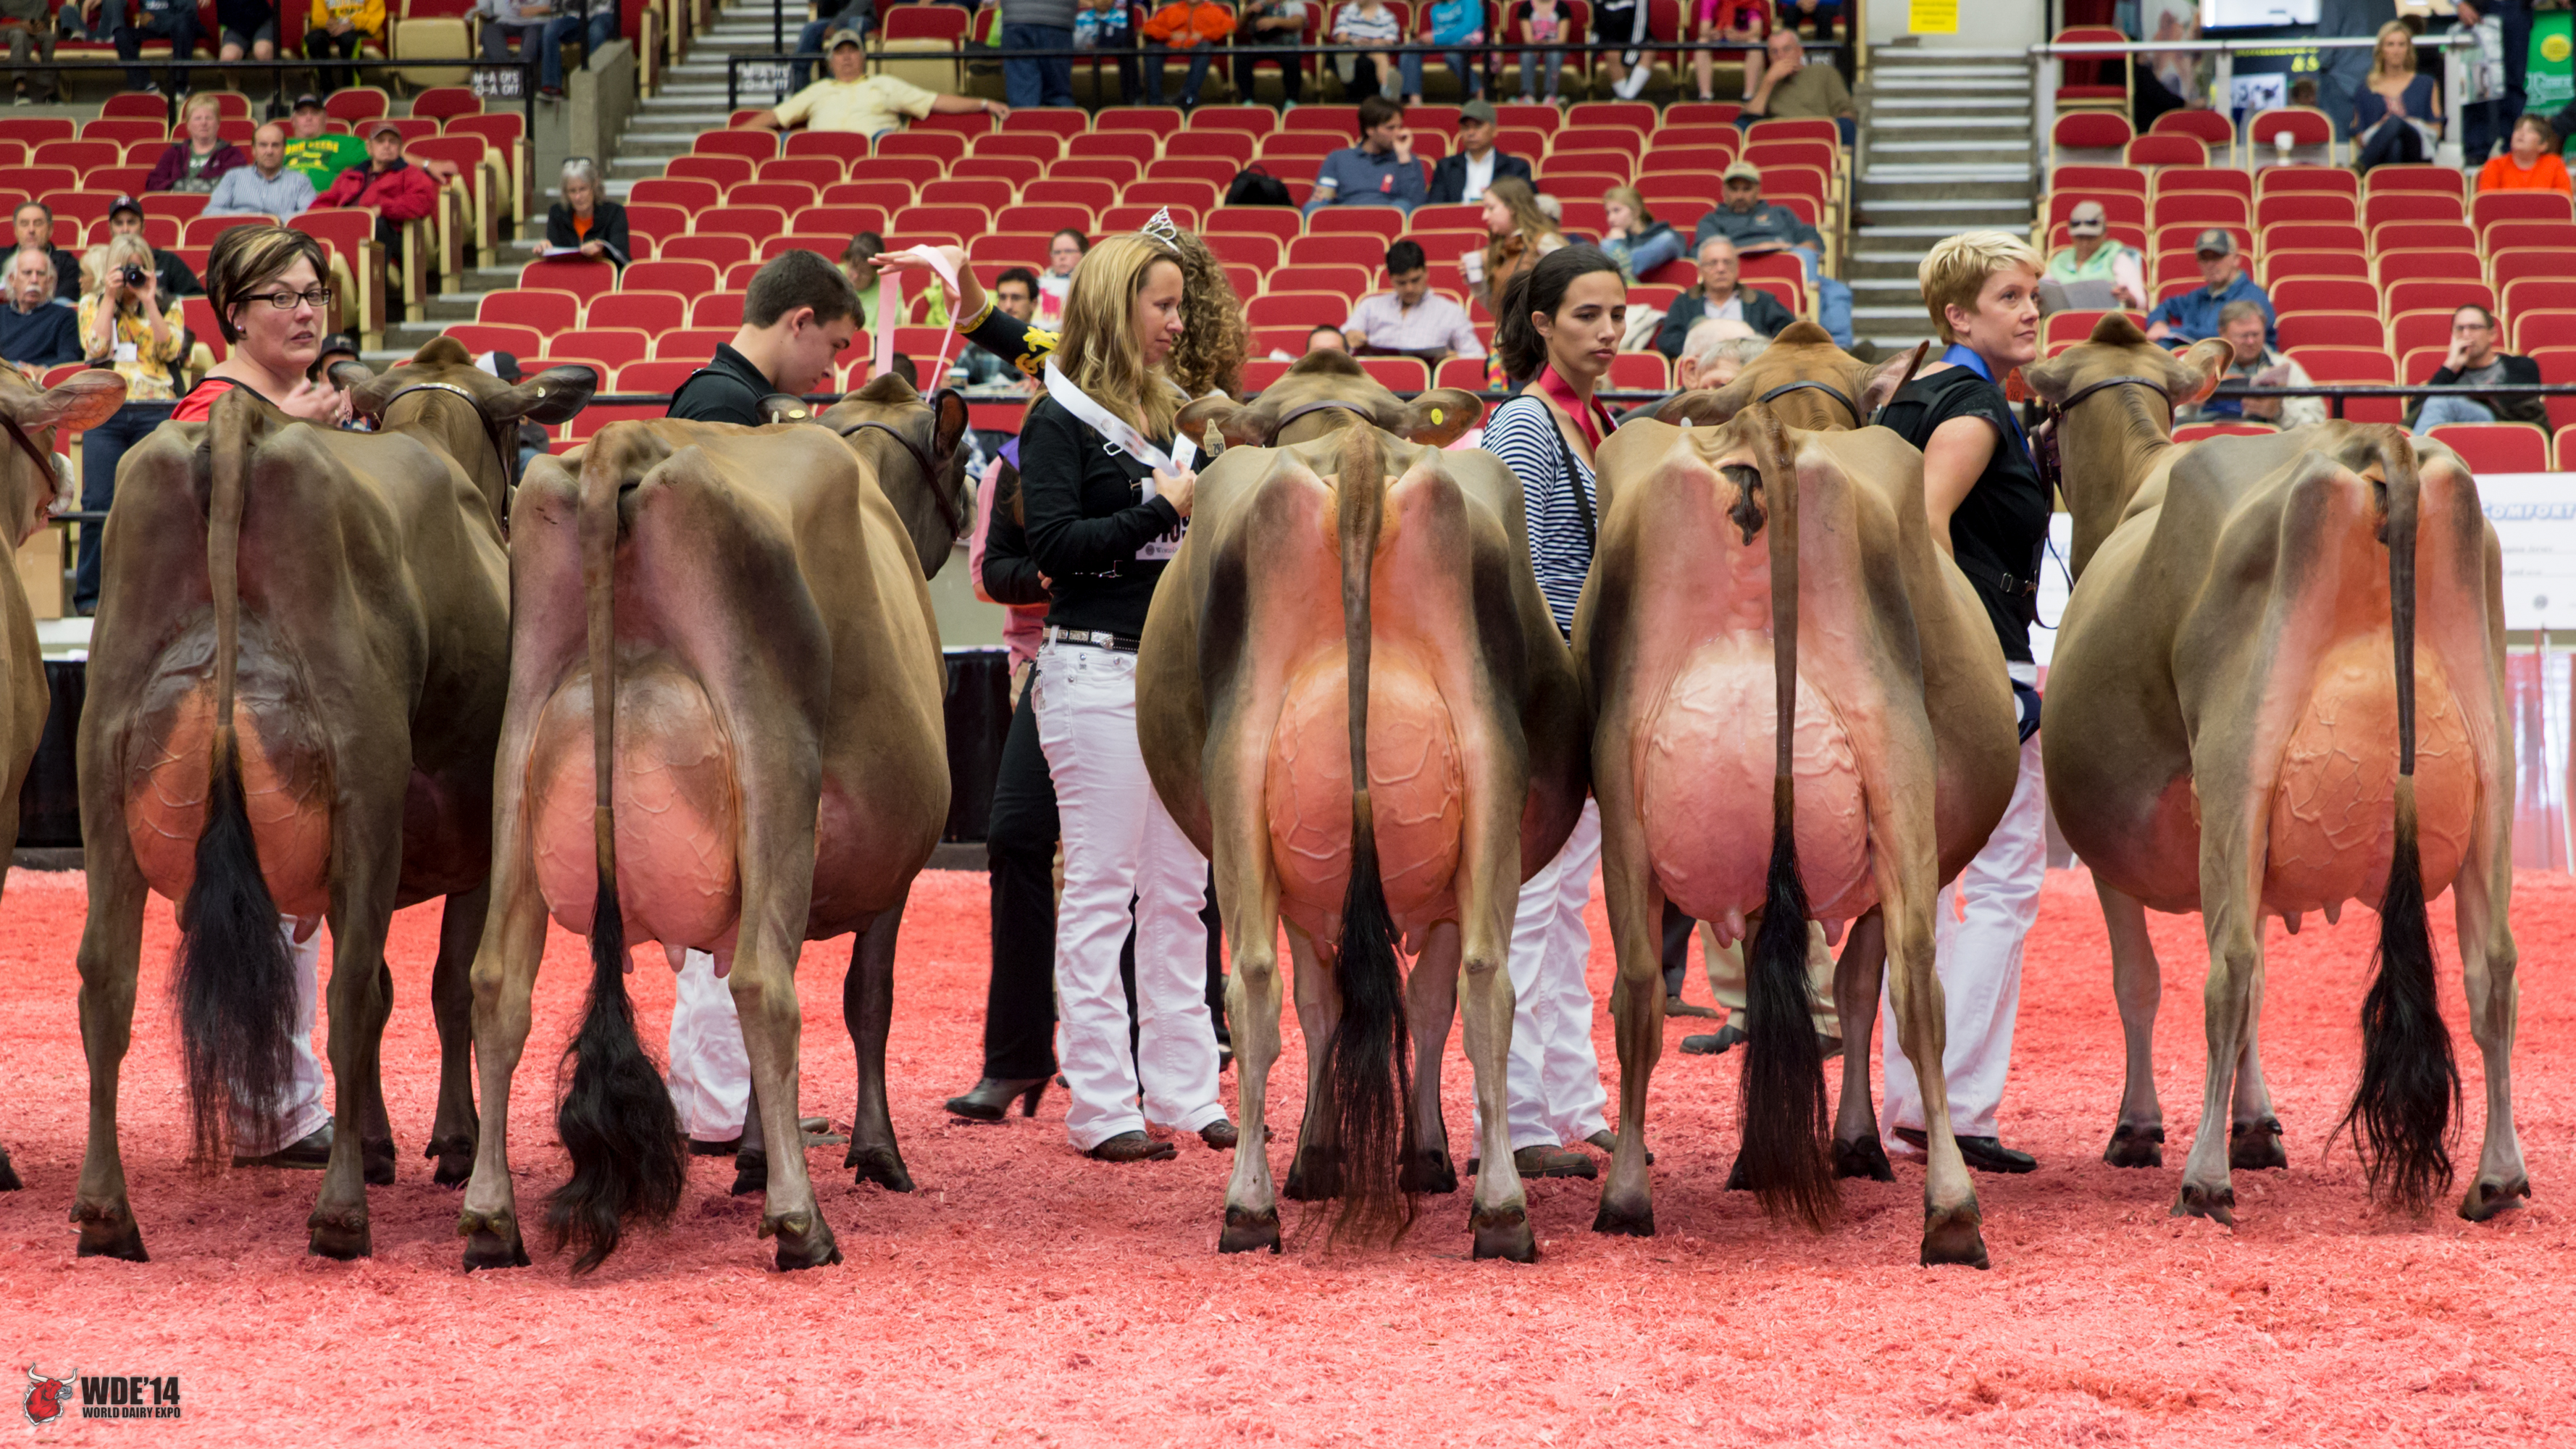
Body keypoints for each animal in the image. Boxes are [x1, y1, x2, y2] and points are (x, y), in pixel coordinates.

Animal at [67, 339, 594, 1262]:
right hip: (363, 783)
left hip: (105, 778)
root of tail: (245, 429)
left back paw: (105, 1211)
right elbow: (441, 987)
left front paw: (389, 1138)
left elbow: (395, 984)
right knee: (346, 997)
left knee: (106, 980)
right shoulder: (474, 844)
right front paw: (449, 1142)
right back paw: (341, 1212)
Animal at [451, 376, 971, 1274]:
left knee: (498, 984)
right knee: (766, 985)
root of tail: (623, 442)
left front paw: (755, 1156)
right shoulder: (895, 873)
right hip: (774, 773)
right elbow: (866, 999)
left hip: (516, 768)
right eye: (968, 459)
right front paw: (873, 1153)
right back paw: (801, 1224)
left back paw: (491, 1219)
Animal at [1144, 352, 1588, 1261]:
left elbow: (1335, 1006)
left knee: (1257, 982)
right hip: (1486, 769)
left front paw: (1334, 1156)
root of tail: (1353, 449)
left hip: (1239, 781)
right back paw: (1500, 1206)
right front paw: (1403, 1153)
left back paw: (1253, 1203)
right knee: (1483, 978)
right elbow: (1412, 1000)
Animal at [1587, 327, 2021, 1266]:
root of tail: (1769, 438)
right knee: (1917, 988)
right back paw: (1952, 1211)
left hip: (1623, 799)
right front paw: (1852, 1143)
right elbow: (1857, 986)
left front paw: (1760, 1157)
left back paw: (1627, 1195)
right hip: (1896, 779)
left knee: (1636, 991)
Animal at [2027, 316, 2521, 1226]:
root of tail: (2375, 439)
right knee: (2493, 969)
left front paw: (2141, 1126)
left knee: (2225, 971)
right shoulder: (2254, 851)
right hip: (2491, 771)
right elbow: (2254, 969)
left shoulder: (2116, 846)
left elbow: (2141, 980)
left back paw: (2202, 1175)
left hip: (2238, 765)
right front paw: (2257, 1122)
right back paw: (2498, 1176)